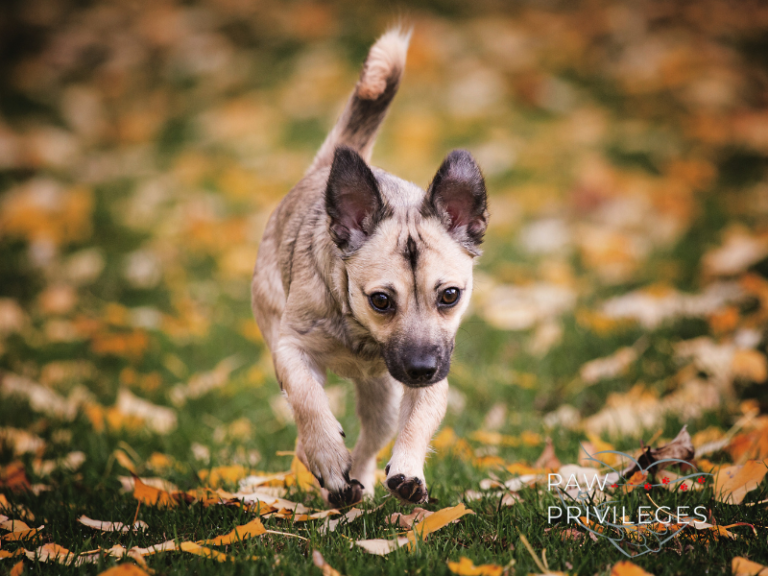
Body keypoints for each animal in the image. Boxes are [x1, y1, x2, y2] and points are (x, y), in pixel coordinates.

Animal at [255, 28, 488, 504]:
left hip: (382, 397)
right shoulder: (290, 349)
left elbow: (418, 419)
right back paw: (324, 466)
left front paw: (408, 469)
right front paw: (326, 454)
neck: (362, 338)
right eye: (381, 300)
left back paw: (353, 485)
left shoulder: (432, 379)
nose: (420, 368)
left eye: (449, 296)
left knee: (371, 439)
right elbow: (307, 401)